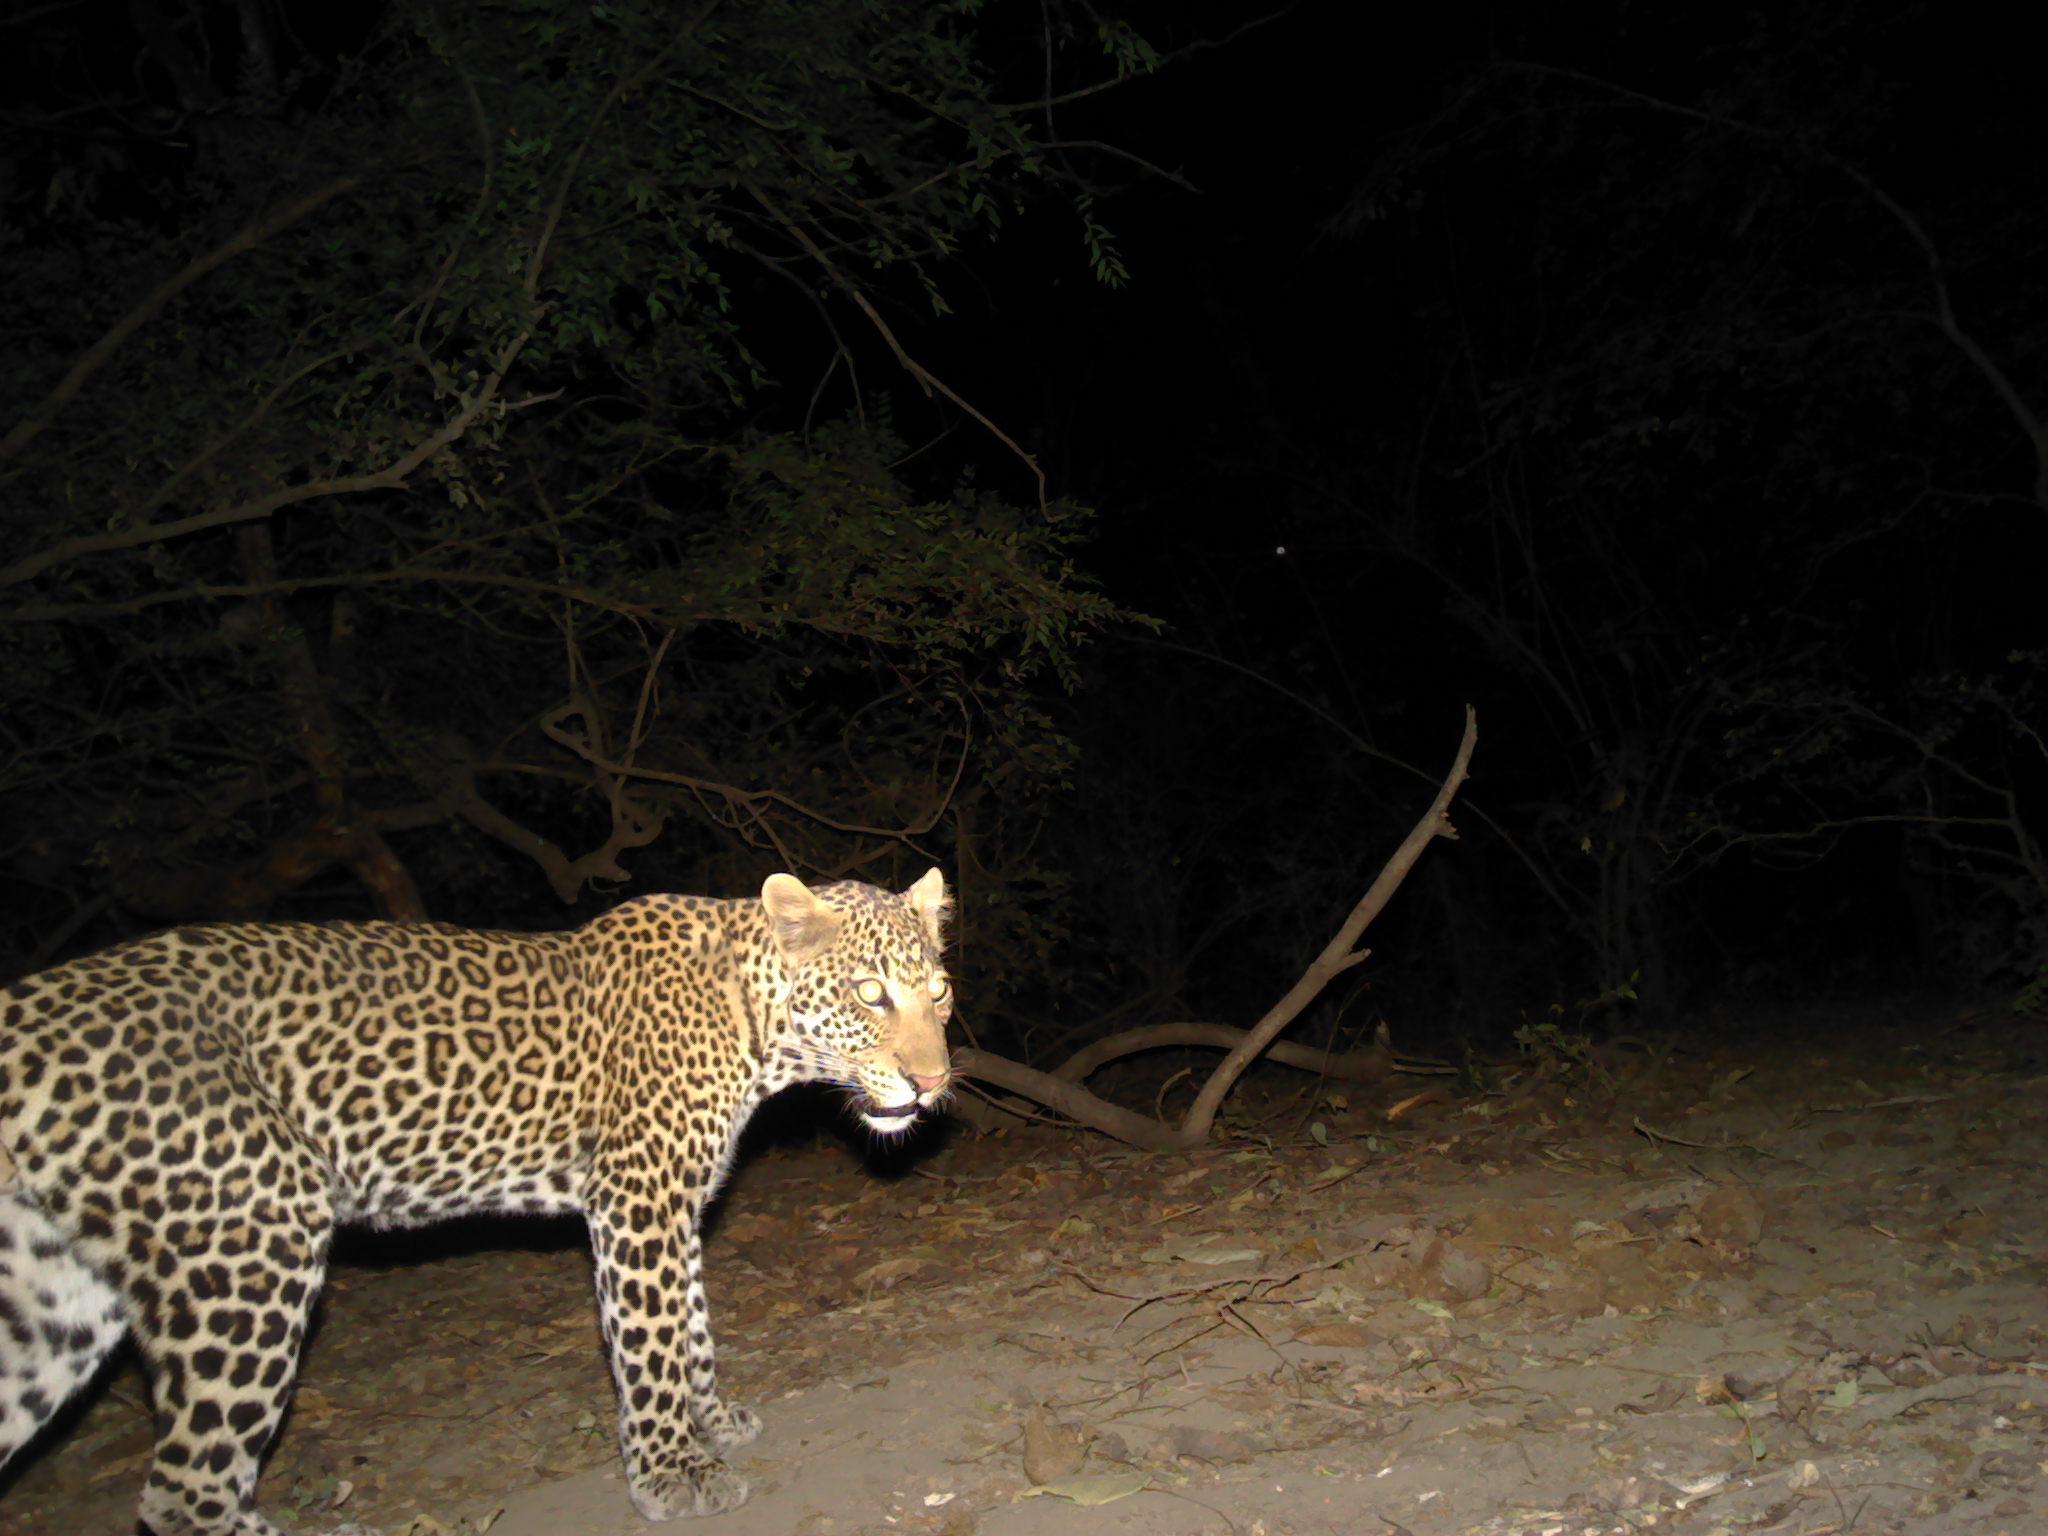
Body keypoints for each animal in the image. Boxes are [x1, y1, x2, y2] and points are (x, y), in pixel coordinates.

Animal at [0, 867, 954, 1536]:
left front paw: (708, 1426)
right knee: (185, 1491)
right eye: (869, 994)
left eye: (937, 992)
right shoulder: (636, 1200)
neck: (754, 1025)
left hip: (58, 1301)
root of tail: (30, 1012)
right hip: (252, 1243)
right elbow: (650, 1344)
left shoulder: (672, 1206)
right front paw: (670, 1473)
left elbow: (693, 1330)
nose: (935, 1082)